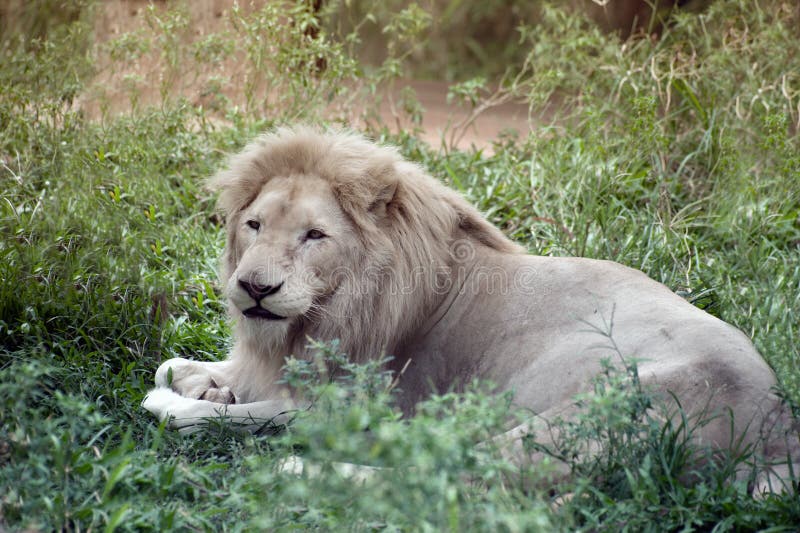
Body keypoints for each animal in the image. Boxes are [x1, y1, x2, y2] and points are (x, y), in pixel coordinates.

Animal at [142, 127, 792, 492]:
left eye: (314, 236)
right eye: (254, 225)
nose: (253, 288)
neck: (328, 316)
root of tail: (781, 428)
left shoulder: (355, 410)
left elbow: (235, 416)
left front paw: (184, 403)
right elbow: (175, 365)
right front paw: (208, 383)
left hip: (575, 419)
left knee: (458, 476)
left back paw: (297, 474)